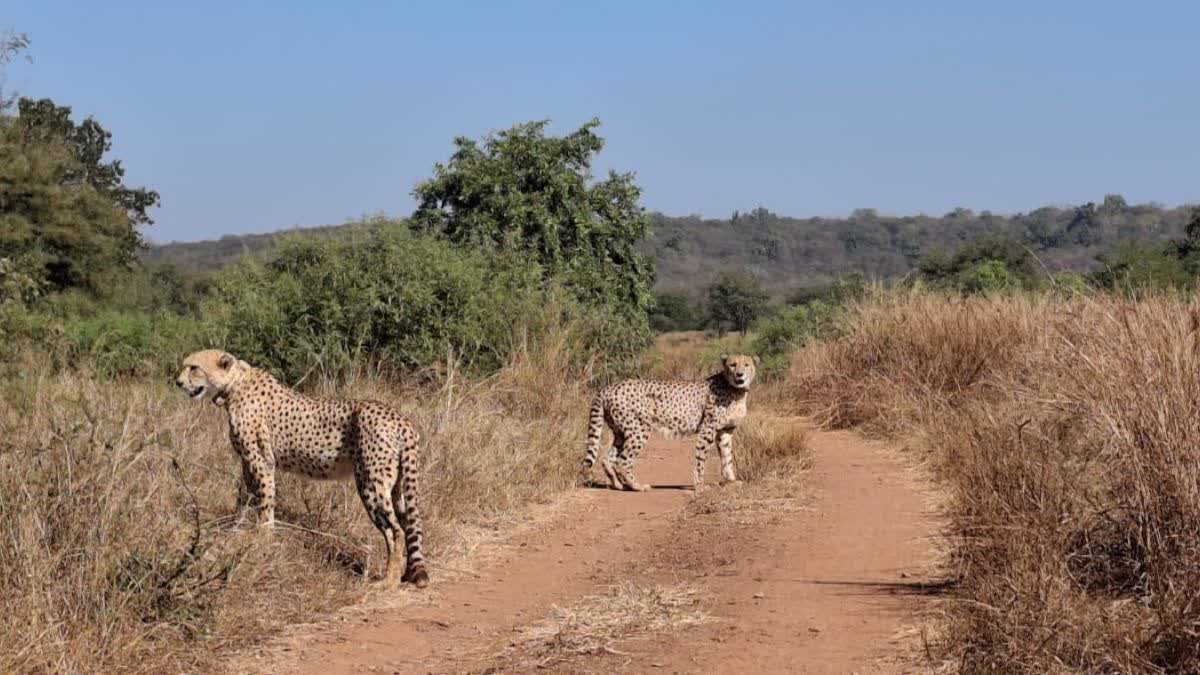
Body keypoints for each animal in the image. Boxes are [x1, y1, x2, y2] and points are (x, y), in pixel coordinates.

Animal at [174, 348, 427, 586]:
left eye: (194, 368)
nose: (178, 382)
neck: (235, 383)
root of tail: (401, 420)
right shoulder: (247, 462)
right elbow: (242, 498)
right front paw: (235, 530)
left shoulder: (261, 461)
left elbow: (265, 503)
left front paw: (263, 541)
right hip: (396, 485)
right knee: (407, 524)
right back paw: (406, 574)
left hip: (370, 481)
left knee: (395, 529)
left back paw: (389, 580)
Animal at [580, 355, 758, 492]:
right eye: (732, 364)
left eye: (746, 364)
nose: (740, 375)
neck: (735, 389)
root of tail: (609, 387)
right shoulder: (707, 430)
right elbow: (701, 460)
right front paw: (700, 486)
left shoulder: (725, 431)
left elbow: (727, 457)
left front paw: (731, 481)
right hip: (639, 429)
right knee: (623, 461)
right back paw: (637, 486)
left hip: (621, 430)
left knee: (607, 458)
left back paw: (618, 484)